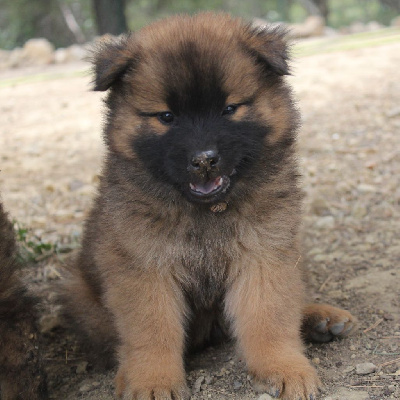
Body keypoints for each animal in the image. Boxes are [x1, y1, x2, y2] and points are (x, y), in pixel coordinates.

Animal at [62, 13, 356, 400]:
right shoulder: (143, 267)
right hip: (82, 295)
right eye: (166, 116)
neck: (206, 212)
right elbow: (151, 330)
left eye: (229, 109)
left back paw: (319, 318)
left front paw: (283, 367)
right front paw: (153, 380)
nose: (204, 160)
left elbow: (269, 316)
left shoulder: (265, 252)